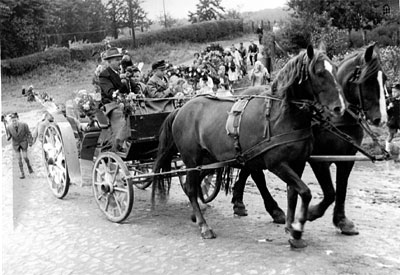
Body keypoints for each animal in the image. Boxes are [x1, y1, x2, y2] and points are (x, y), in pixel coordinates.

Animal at [153, 44, 344, 248]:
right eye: (319, 72)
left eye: (335, 69)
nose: (339, 107)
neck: (280, 116)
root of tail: (181, 109)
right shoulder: (277, 164)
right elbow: (305, 192)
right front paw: (298, 228)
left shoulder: (298, 162)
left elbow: (294, 193)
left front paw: (291, 226)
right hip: (192, 161)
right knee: (190, 188)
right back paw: (204, 226)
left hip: (208, 159)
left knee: (198, 184)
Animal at [231, 43, 388, 237]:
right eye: (368, 80)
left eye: (384, 79)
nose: (381, 119)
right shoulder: (319, 160)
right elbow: (330, 192)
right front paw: (311, 213)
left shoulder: (347, 157)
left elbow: (341, 188)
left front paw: (341, 220)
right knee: (256, 175)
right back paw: (272, 209)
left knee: (247, 169)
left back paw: (239, 201)